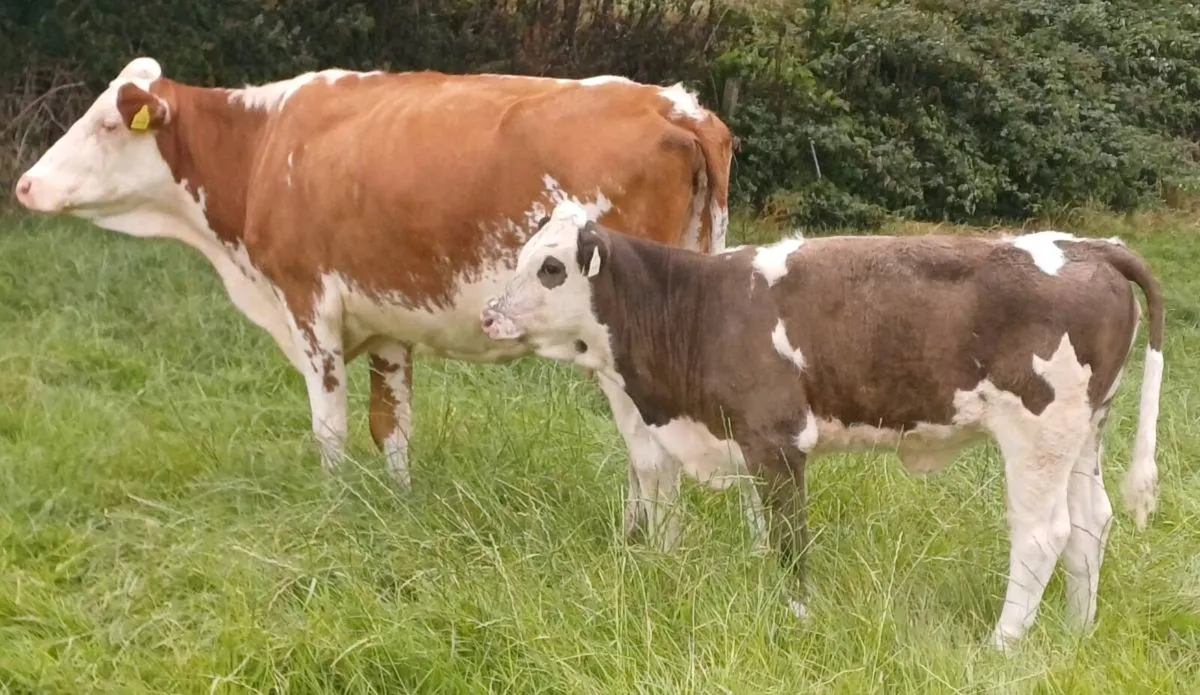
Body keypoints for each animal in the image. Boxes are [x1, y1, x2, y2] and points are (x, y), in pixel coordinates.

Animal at [11, 57, 755, 537]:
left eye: (108, 124)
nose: (24, 184)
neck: (263, 146)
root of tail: (676, 105)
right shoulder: (387, 317)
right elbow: (392, 423)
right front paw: (400, 506)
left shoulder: (309, 305)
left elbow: (330, 425)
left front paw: (331, 507)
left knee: (652, 455)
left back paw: (649, 555)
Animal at [479, 201, 1165, 650]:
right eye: (519, 258)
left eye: (550, 268)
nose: (487, 316)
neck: (698, 308)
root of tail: (1090, 245)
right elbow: (764, 530)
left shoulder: (778, 437)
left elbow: (789, 536)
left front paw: (797, 613)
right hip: (1083, 430)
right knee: (1090, 522)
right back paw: (1077, 633)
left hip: (1038, 429)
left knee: (1043, 532)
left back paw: (1002, 644)